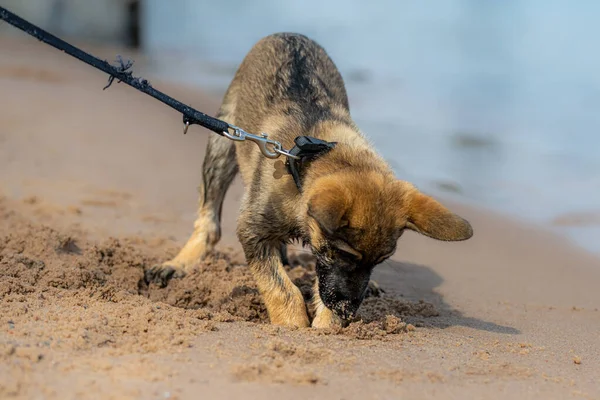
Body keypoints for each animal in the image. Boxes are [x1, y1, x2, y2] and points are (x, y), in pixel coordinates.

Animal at [146, 32, 474, 328]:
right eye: (342, 254)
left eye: (381, 261)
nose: (347, 311)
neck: (309, 158)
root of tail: (288, 34)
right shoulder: (253, 232)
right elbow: (281, 288)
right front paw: (292, 324)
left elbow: (319, 284)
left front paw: (328, 323)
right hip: (222, 143)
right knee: (209, 222)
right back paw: (180, 263)